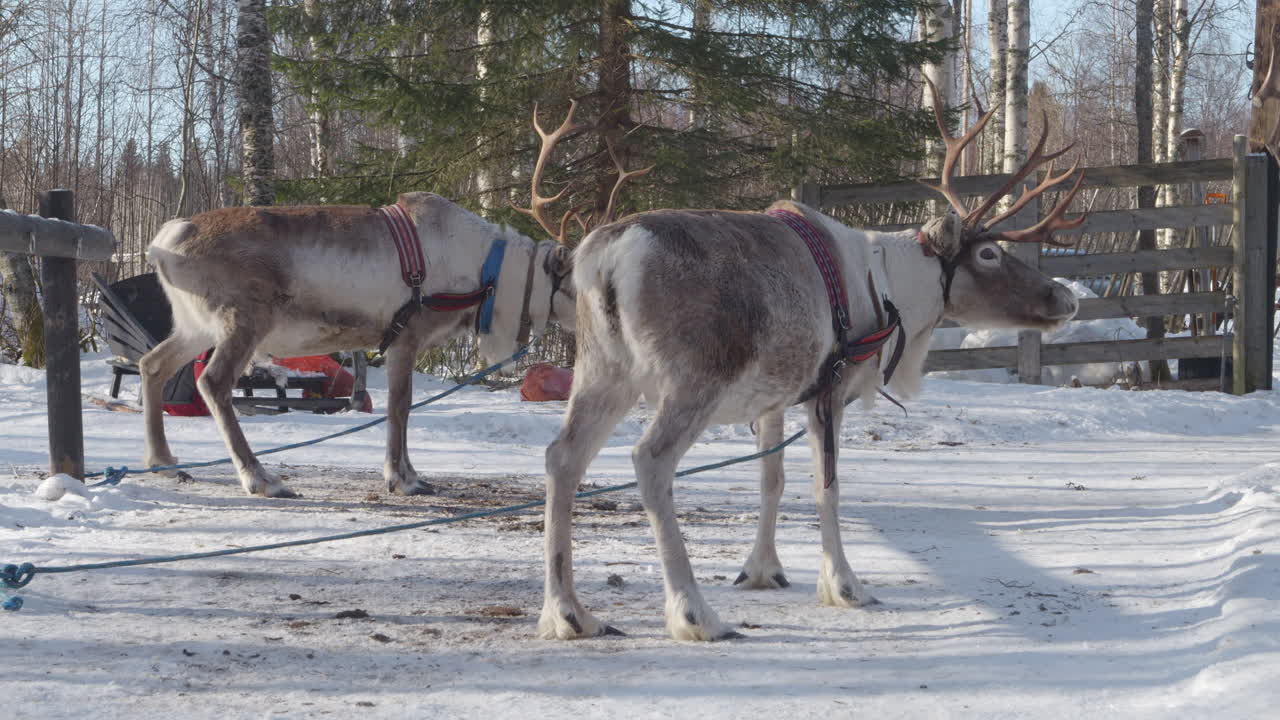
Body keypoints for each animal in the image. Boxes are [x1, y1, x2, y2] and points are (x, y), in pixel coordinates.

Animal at [538, 81, 1085, 642]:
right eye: (989, 255)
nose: (1065, 298)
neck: (893, 291)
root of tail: (603, 259)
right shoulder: (831, 389)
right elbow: (828, 489)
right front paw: (845, 586)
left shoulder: (775, 398)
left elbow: (772, 480)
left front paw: (761, 570)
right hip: (693, 380)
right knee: (650, 460)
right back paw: (694, 613)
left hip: (603, 372)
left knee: (562, 457)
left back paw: (569, 612)